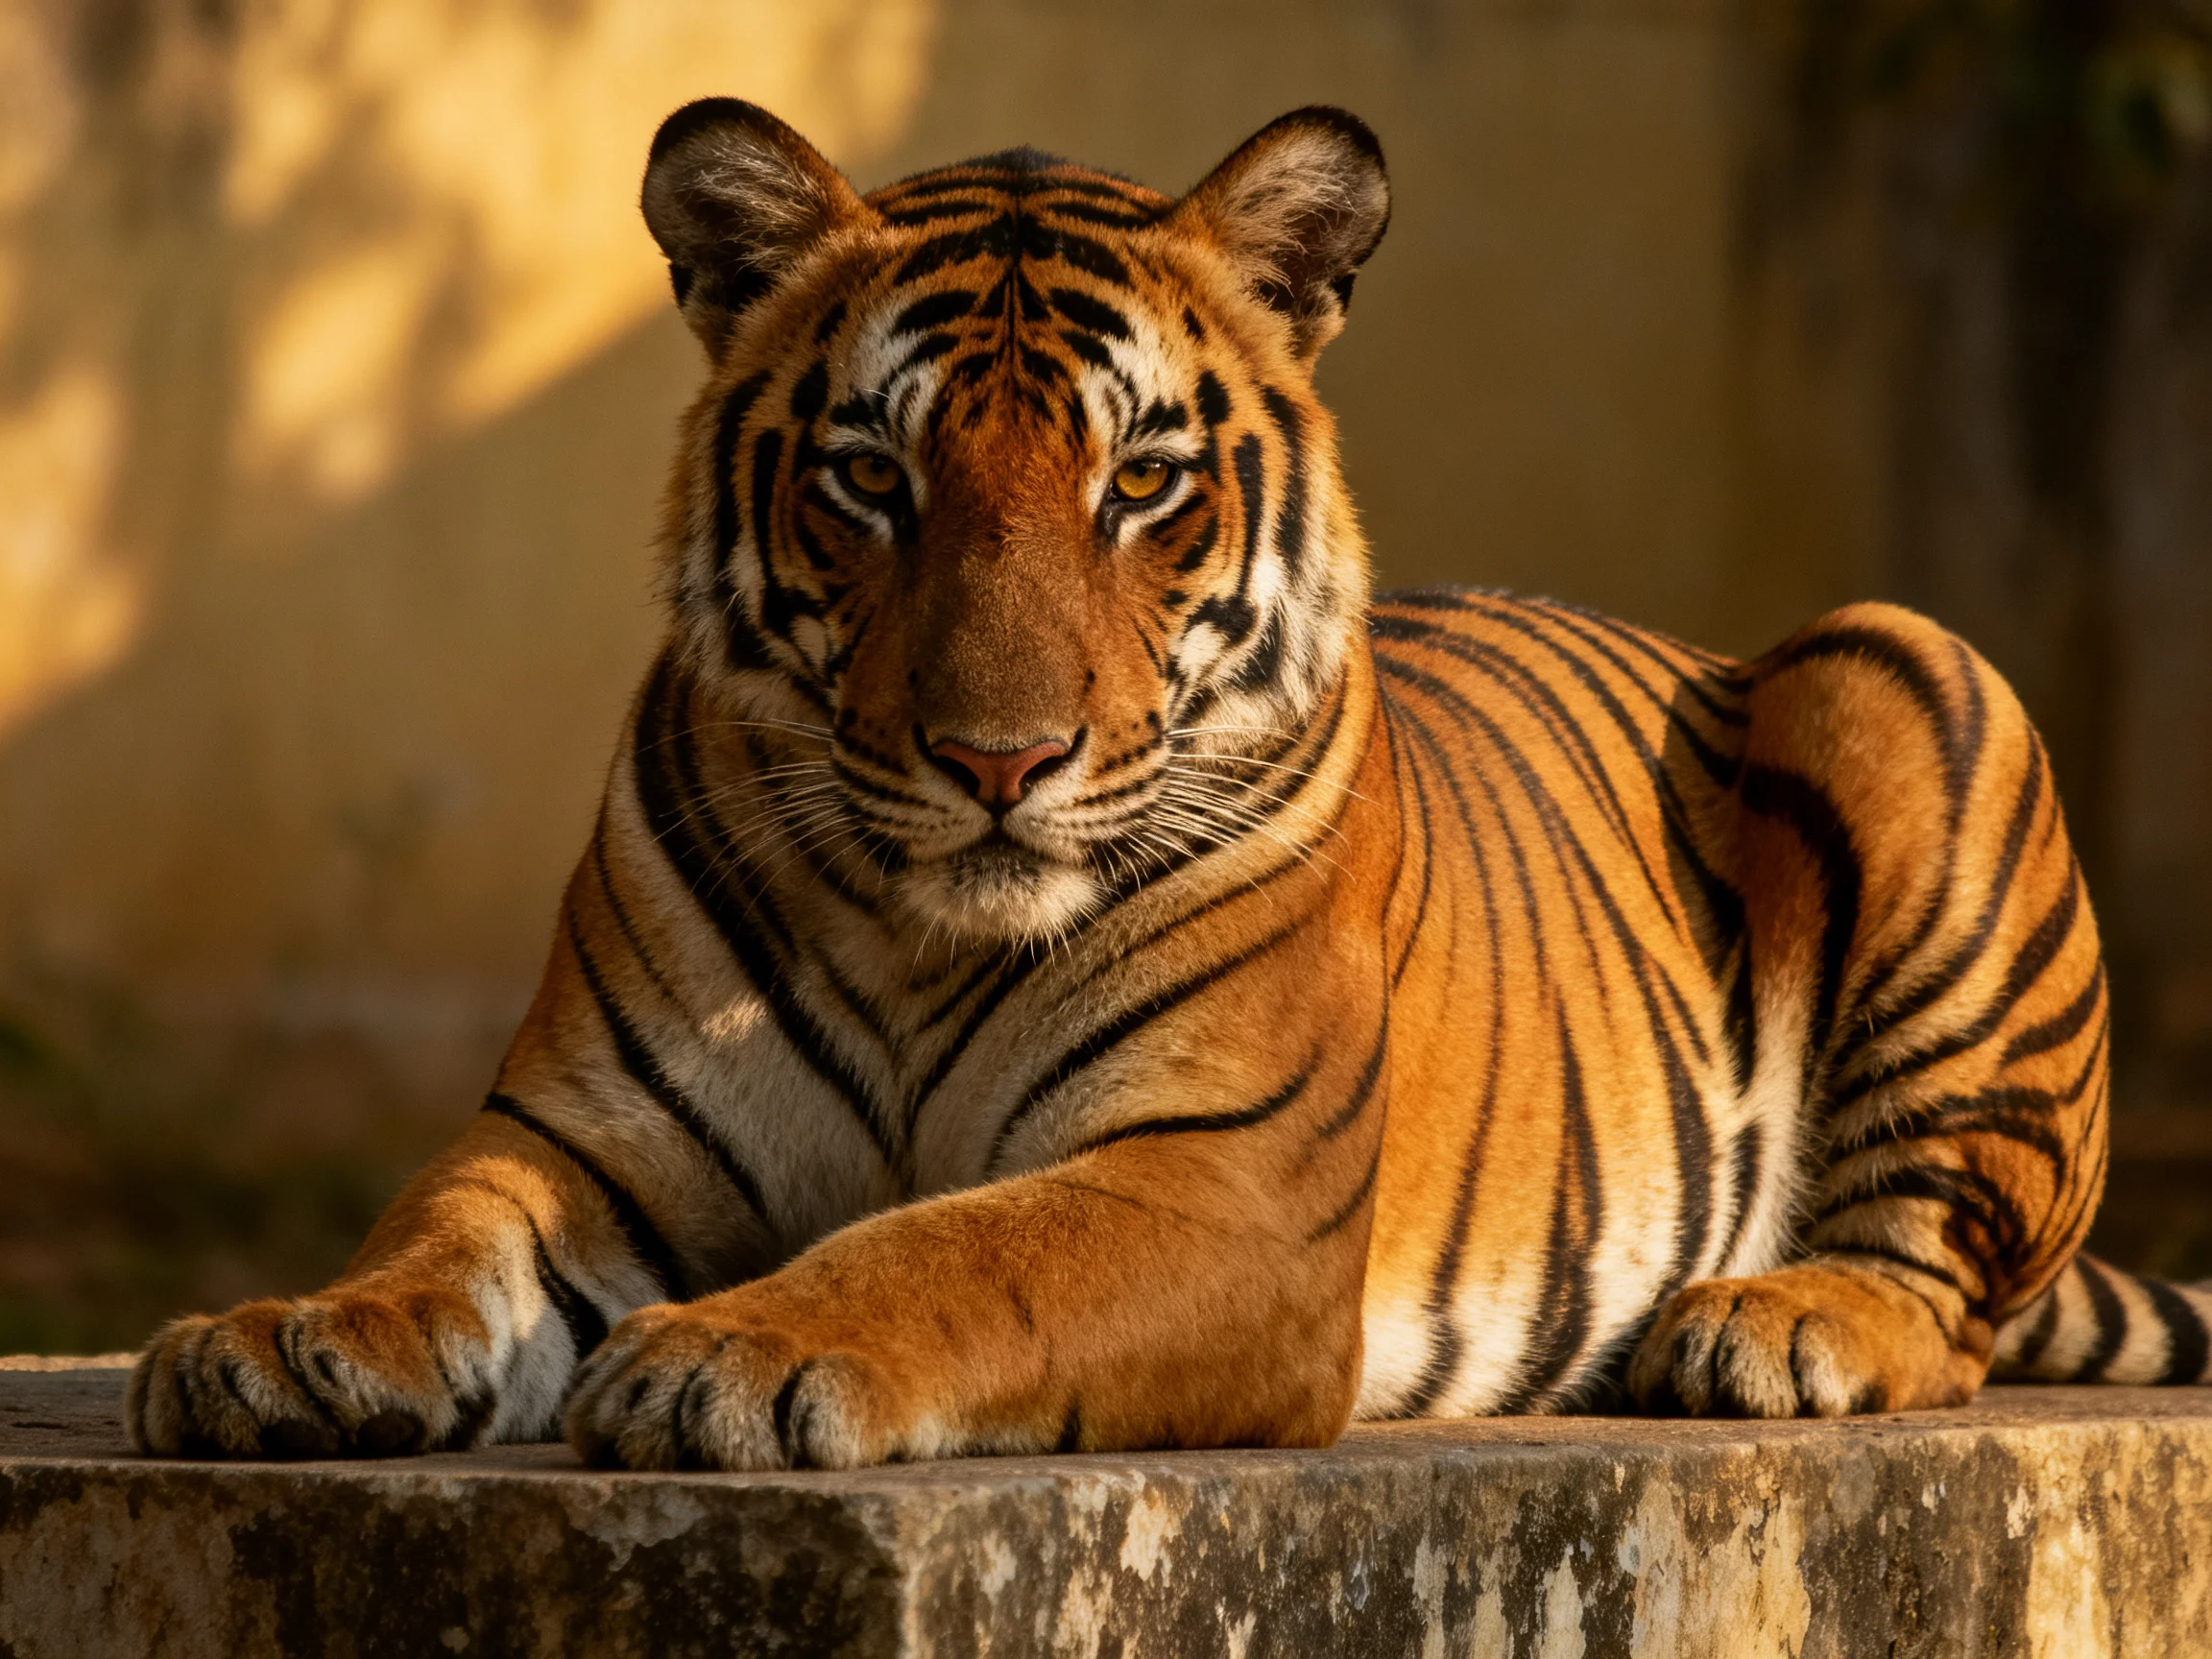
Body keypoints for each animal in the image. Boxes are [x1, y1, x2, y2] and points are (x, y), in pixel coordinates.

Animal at [128, 100, 2211, 1470]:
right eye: (871, 476)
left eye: (1139, 480)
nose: (996, 758)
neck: (918, 940)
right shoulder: (578, 1137)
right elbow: (440, 1225)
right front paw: (286, 1339)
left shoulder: (1222, 1182)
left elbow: (959, 1244)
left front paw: (724, 1348)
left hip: (1903, 662)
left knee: (1947, 1291)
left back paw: (1767, 1325)